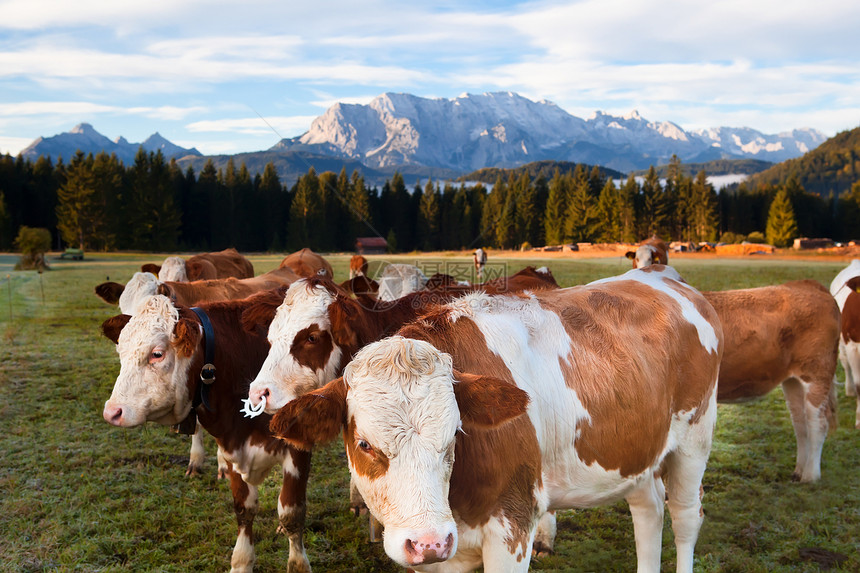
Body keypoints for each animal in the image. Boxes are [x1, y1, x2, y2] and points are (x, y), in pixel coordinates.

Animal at [100, 290, 312, 572]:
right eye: (121, 351)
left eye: (157, 354)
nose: (112, 412)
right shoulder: (234, 447)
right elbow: (244, 509)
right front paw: (241, 563)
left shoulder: (298, 447)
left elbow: (292, 513)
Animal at [252, 266, 724, 568]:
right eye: (364, 443)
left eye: (453, 436)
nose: (259, 393)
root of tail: (665, 281)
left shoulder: (511, 529)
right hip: (637, 452)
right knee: (649, 511)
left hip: (694, 441)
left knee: (685, 517)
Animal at [704, 280, 840, 480]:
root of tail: (809, 284)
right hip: (793, 381)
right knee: (800, 421)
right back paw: (799, 471)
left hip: (816, 371)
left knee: (818, 422)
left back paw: (810, 476)